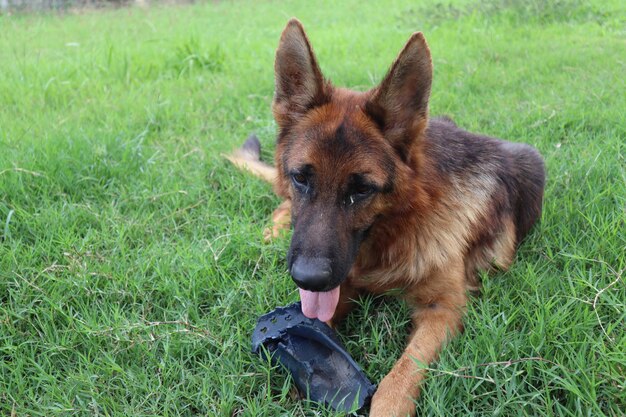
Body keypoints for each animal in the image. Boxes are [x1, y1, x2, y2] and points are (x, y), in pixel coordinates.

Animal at [227, 19, 544, 416]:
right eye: (301, 178)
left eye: (362, 189)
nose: (307, 279)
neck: (397, 230)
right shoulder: (340, 283)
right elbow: (319, 319)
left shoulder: (443, 309)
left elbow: (401, 376)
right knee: (280, 202)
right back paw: (271, 231)